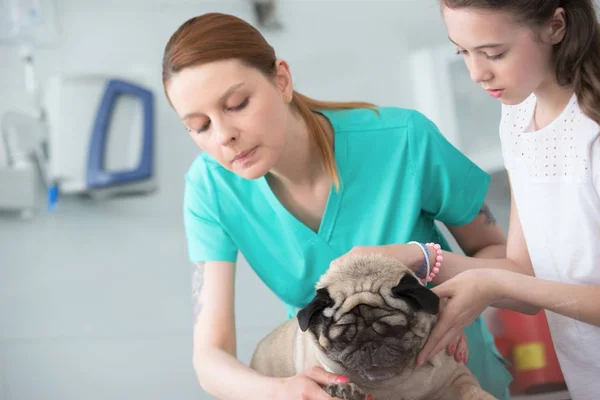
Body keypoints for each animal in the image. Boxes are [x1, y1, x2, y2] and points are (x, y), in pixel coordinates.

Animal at [248, 253, 496, 400]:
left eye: (395, 330)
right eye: (344, 340)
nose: (369, 345)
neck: (394, 386)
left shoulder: (456, 379)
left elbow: (471, 391)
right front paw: (342, 390)